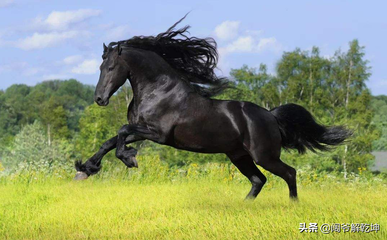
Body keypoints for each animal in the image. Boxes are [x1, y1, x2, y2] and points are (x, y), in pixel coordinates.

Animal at [75, 16, 352, 200]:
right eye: (100, 67)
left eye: (111, 67)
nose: (99, 99)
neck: (158, 90)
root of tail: (271, 116)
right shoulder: (142, 130)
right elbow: (110, 141)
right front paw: (85, 170)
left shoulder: (158, 134)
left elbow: (121, 132)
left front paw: (129, 158)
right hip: (239, 156)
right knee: (258, 180)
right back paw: (244, 206)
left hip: (264, 155)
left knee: (289, 173)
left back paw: (292, 205)